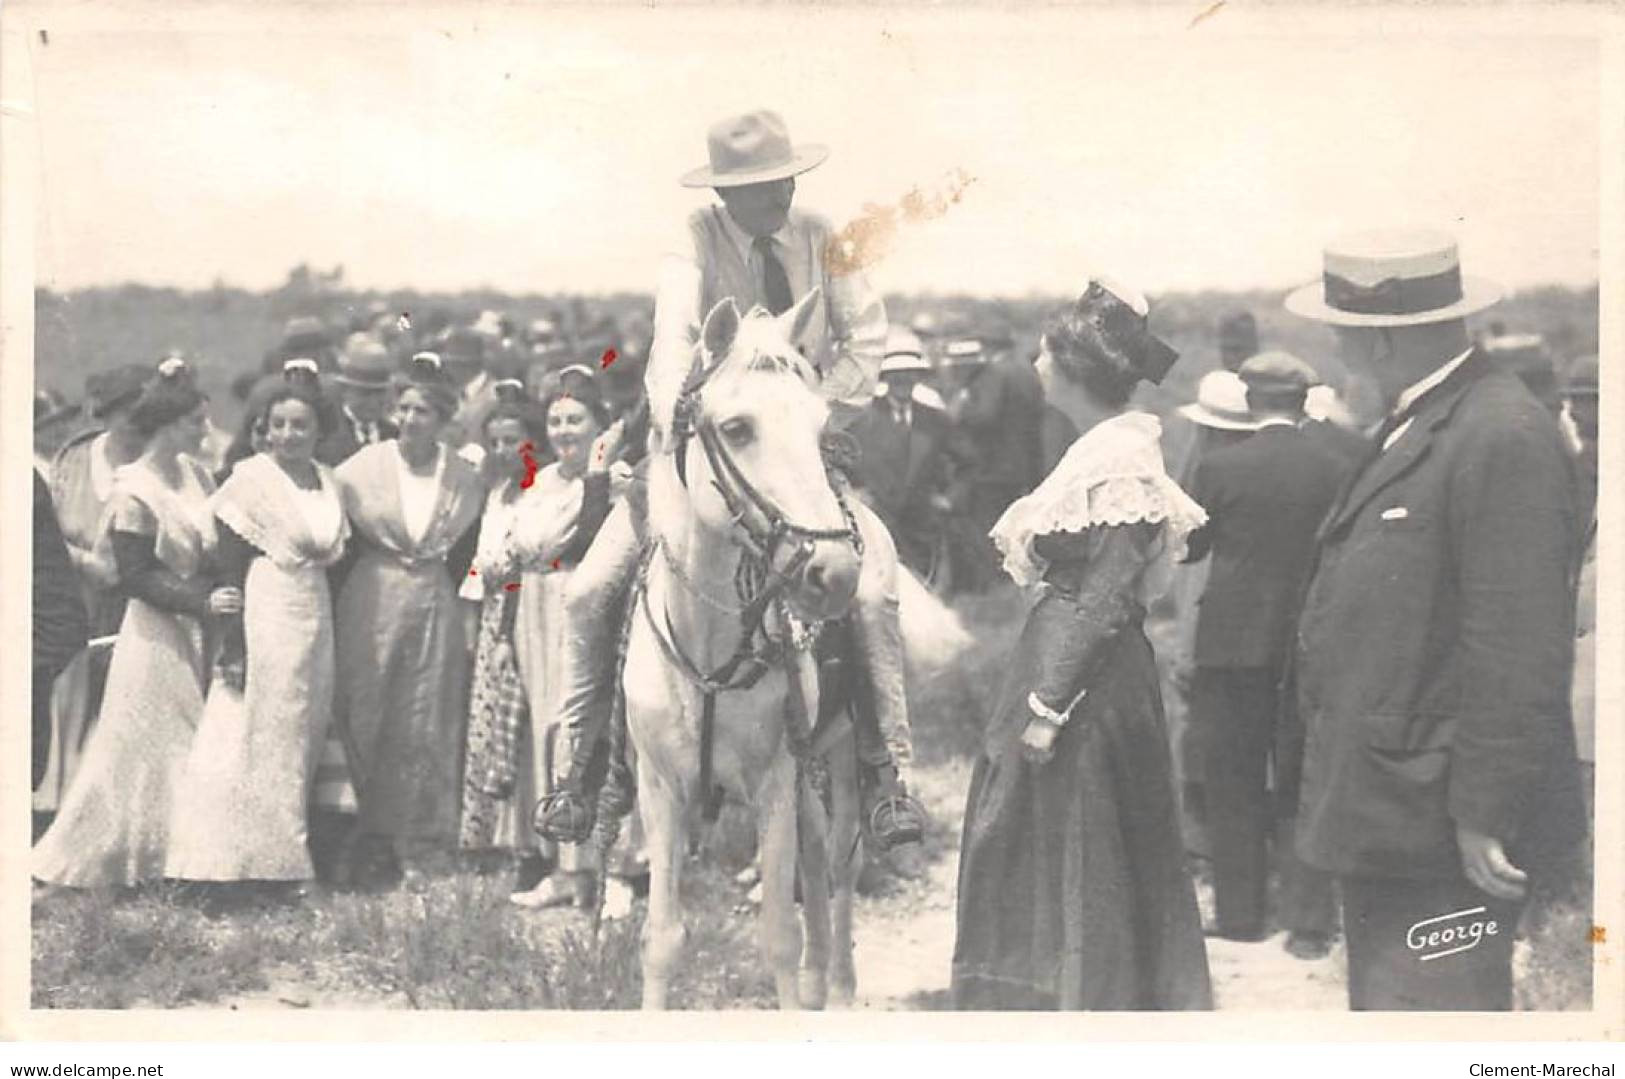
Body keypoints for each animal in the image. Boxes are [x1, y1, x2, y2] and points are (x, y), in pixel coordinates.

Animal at [624, 290, 877, 1007]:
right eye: (737, 428)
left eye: (821, 431)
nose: (835, 572)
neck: (708, 657)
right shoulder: (660, 788)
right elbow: (661, 940)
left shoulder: (773, 784)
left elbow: (778, 938)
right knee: (818, 862)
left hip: (841, 756)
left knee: (840, 864)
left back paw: (838, 986)